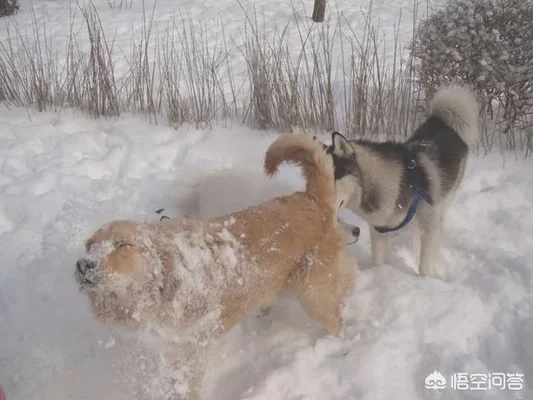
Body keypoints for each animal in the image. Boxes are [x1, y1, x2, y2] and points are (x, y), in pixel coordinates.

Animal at [75, 134, 358, 396]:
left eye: (122, 245)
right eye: (90, 245)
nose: (83, 265)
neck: (163, 284)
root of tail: (311, 199)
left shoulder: (189, 349)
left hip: (314, 295)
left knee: (337, 321)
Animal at [322, 84, 480, 278]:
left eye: (332, 178)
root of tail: (443, 121)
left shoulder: (429, 228)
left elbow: (424, 266)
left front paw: (427, 280)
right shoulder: (379, 230)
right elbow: (378, 261)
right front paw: (379, 274)